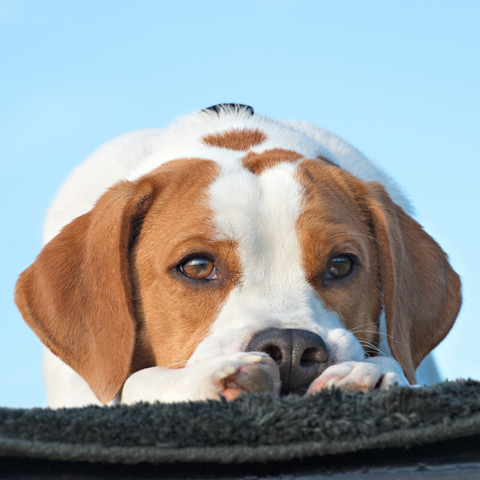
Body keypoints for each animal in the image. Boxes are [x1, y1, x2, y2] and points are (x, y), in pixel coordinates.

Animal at [14, 103, 462, 406]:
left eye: (341, 265)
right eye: (197, 266)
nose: (291, 348)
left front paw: (366, 373)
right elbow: (137, 381)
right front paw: (210, 380)